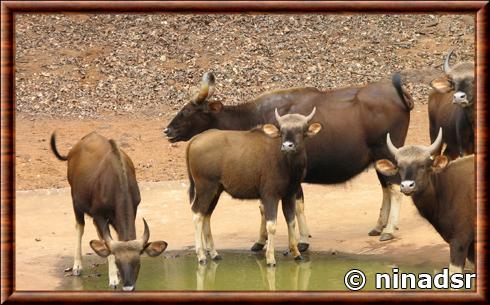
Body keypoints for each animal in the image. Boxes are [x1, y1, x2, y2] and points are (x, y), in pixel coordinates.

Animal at [50, 131, 167, 290]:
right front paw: (113, 279)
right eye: (118, 262)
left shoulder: (131, 210)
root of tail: (74, 149)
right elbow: (108, 244)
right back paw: (77, 266)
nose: (128, 286)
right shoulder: (99, 214)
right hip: (76, 203)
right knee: (80, 227)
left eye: (138, 263)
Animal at [185, 108, 322, 264]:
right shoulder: (270, 196)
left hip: (216, 190)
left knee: (206, 215)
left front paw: (296, 253)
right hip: (205, 188)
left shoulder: (289, 195)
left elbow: (291, 222)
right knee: (197, 215)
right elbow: (272, 225)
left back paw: (214, 253)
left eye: (301, 130)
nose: (287, 146)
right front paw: (270, 257)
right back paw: (201, 255)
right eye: (282, 130)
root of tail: (195, 139)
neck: (288, 164)